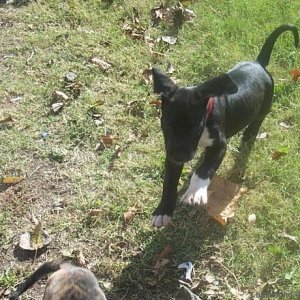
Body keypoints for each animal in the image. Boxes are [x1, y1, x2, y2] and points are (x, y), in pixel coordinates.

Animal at [151, 24, 298, 227]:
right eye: (167, 127)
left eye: (194, 129)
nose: (180, 156)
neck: (207, 114)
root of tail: (259, 64)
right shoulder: (172, 150)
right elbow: (169, 182)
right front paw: (163, 211)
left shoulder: (219, 146)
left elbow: (205, 169)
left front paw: (196, 191)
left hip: (265, 105)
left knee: (257, 122)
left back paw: (248, 136)